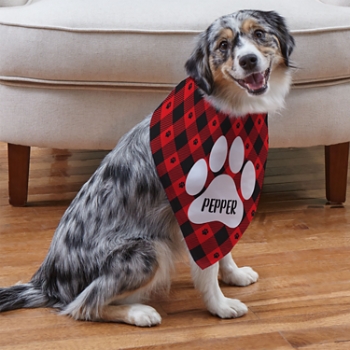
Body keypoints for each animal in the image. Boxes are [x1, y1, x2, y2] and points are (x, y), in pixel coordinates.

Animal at [0, 11, 296, 328]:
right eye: (223, 45)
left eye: (259, 34)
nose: (248, 60)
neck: (227, 113)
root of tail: (47, 281)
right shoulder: (195, 212)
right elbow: (207, 266)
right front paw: (219, 305)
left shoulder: (227, 201)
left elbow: (224, 247)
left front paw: (234, 274)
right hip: (149, 249)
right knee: (83, 305)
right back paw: (139, 312)